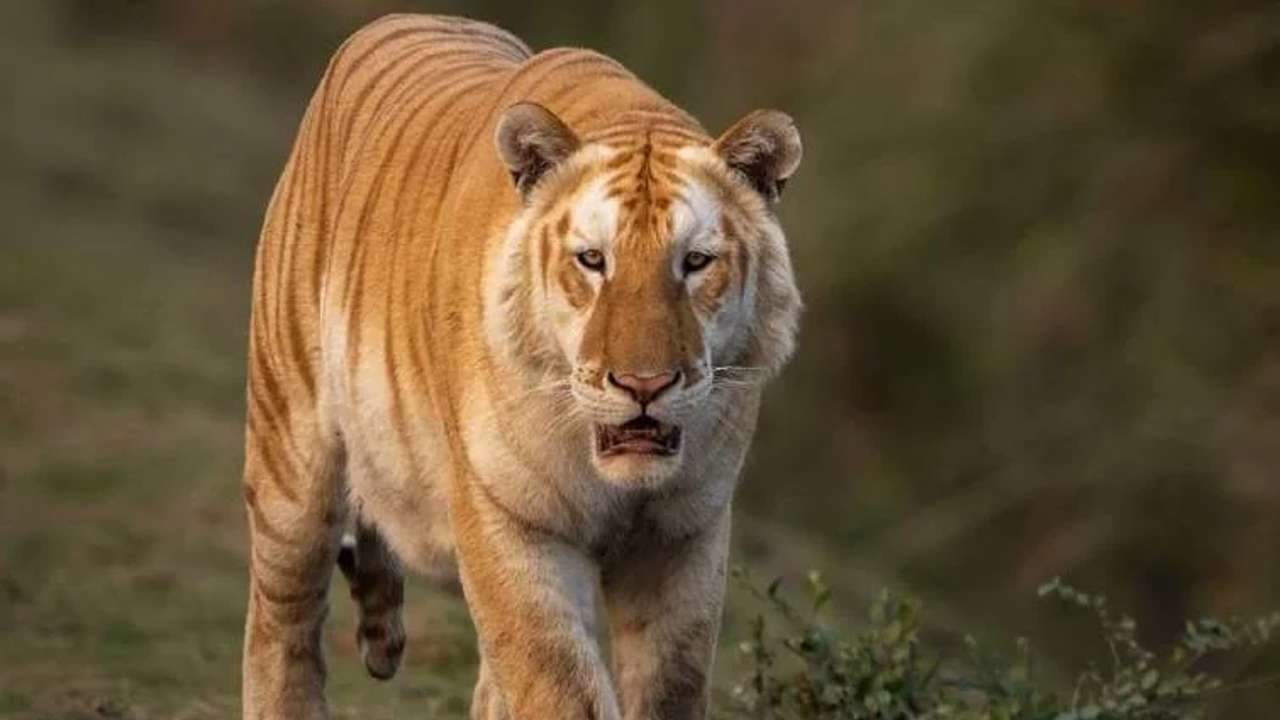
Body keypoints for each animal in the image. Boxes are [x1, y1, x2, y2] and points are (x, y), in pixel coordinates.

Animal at [240, 13, 802, 720]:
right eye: (593, 260)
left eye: (696, 262)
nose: (644, 385)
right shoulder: (510, 521)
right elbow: (561, 685)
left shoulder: (684, 537)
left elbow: (668, 688)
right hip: (290, 458)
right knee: (282, 622)